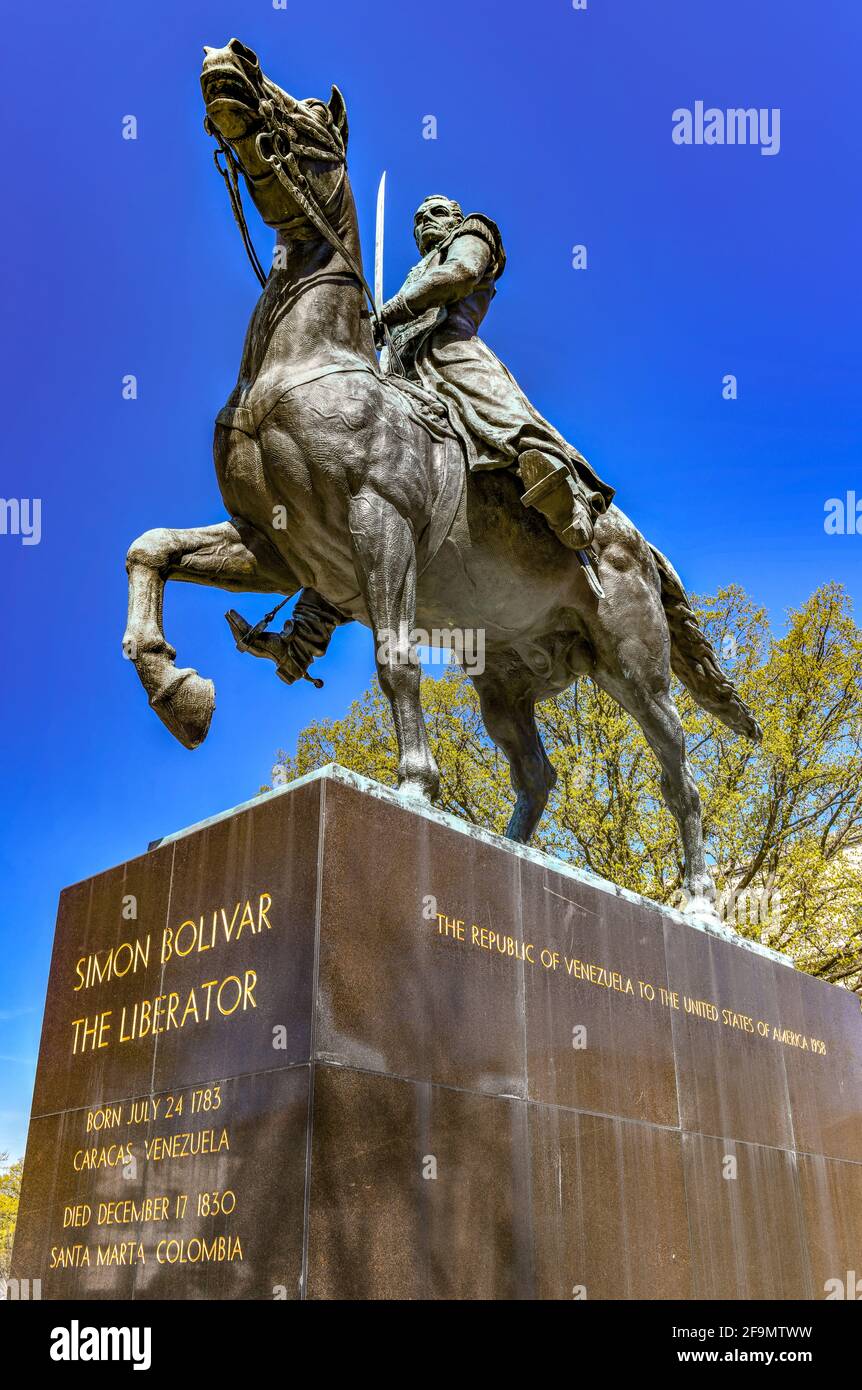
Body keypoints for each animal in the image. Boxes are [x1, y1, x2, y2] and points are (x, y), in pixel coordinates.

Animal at [123, 35, 761, 911]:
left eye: (313, 114)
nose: (231, 58)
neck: (301, 365)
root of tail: (638, 542)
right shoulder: (273, 548)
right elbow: (151, 548)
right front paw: (176, 692)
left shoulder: (378, 521)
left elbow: (394, 660)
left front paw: (415, 788)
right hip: (506, 683)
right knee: (538, 774)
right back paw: (515, 856)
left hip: (635, 668)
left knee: (679, 775)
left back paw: (697, 902)